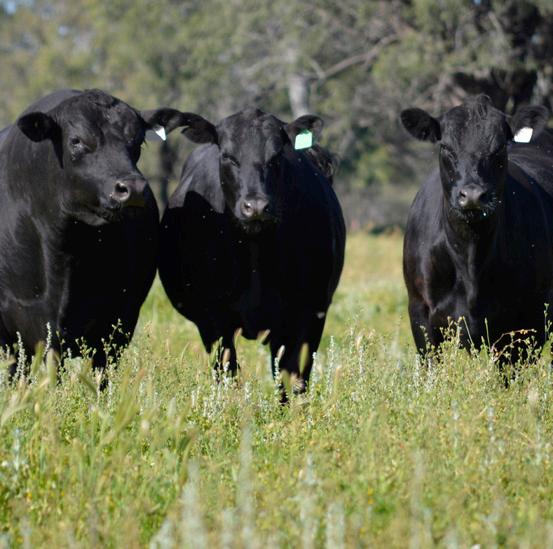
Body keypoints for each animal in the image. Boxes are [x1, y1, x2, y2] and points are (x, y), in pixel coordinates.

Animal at [158, 107, 346, 398]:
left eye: (276, 156)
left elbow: (293, 378)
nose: (255, 206)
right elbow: (228, 372)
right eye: (228, 156)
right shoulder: (215, 319)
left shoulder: (309, 314)